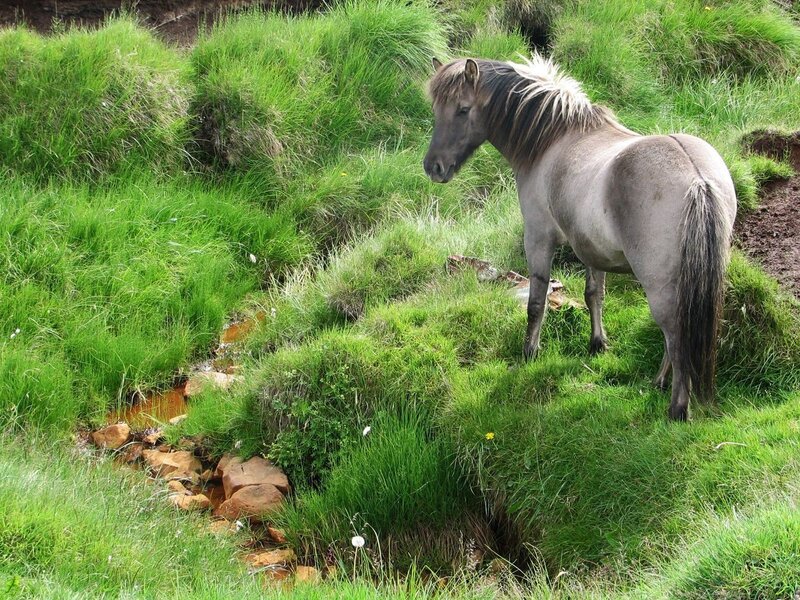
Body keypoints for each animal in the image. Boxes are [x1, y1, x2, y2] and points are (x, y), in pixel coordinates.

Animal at [423, 55, 736, 420]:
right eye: (436, 109)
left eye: (462, 109)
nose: (433, 167)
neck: (554, 139)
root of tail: (698, 179)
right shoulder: (592, 248)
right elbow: (593, 294)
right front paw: (597, 343)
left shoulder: (538, 239)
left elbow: (536, 303)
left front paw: (529, 352)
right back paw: (659, 383)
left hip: (661, 285)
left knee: (675, 334)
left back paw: (677, 407)